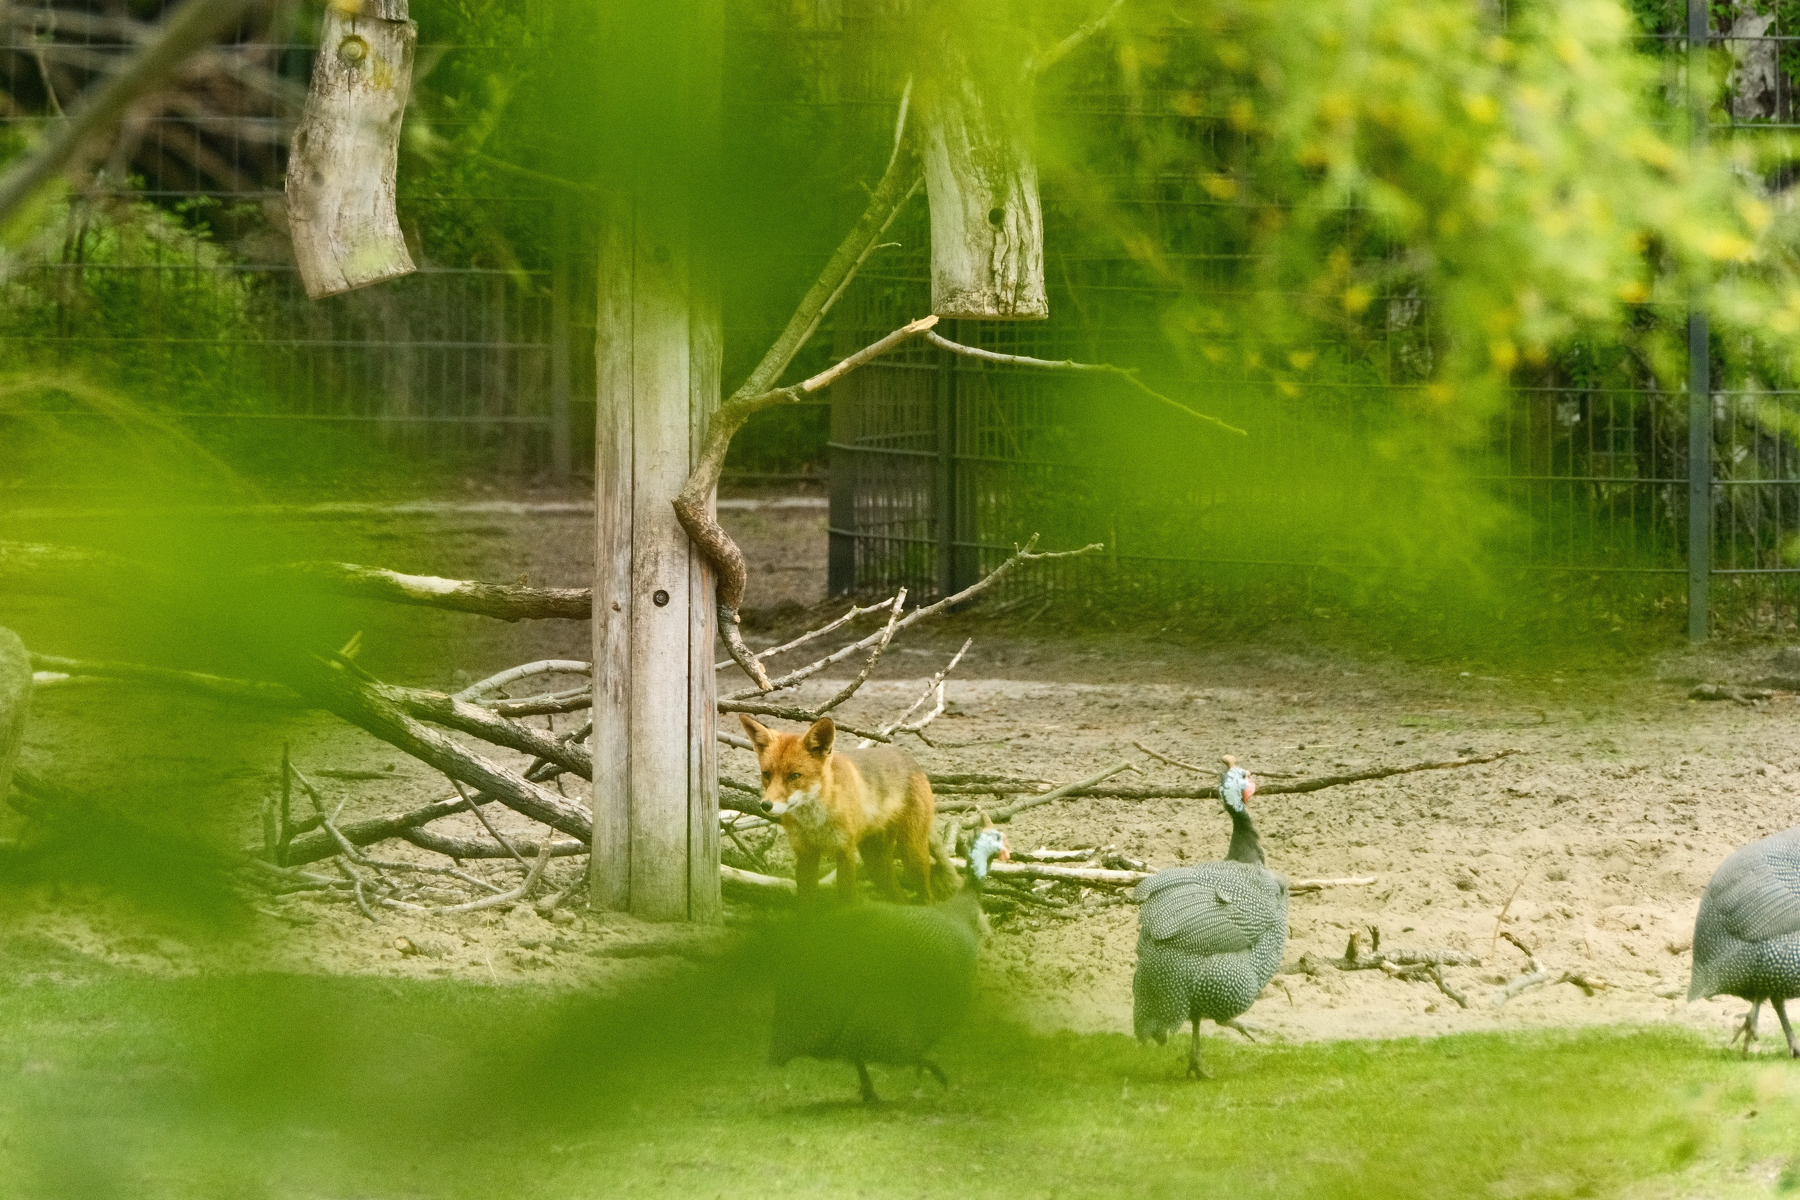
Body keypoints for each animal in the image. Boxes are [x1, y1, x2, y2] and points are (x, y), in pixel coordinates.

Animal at [739, 714, 940, 906]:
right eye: (766, 774)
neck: (815, 823)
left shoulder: (845, 852)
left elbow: (846, 900)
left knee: (928, 896)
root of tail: (905, 754)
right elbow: (805, 904)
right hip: (876, 863)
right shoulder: (805, 854)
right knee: (898, 896)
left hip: (912, 853)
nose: (766, 805)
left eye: (794, 776)